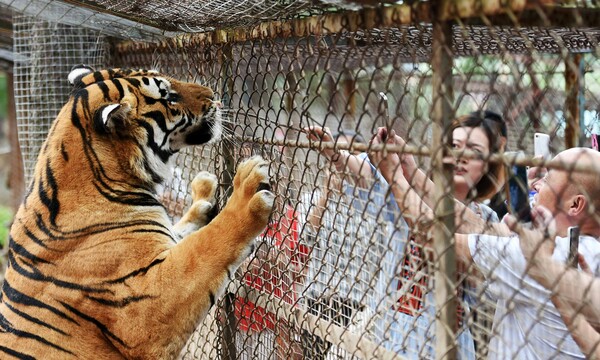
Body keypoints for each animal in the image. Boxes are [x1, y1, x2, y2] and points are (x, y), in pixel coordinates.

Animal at [0, 66, 274, 358]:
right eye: (169, 97)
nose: (215, 96)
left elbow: (184, 233)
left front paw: (202, 193)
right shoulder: (145, 307)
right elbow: (206, 246)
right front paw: (247, 189)